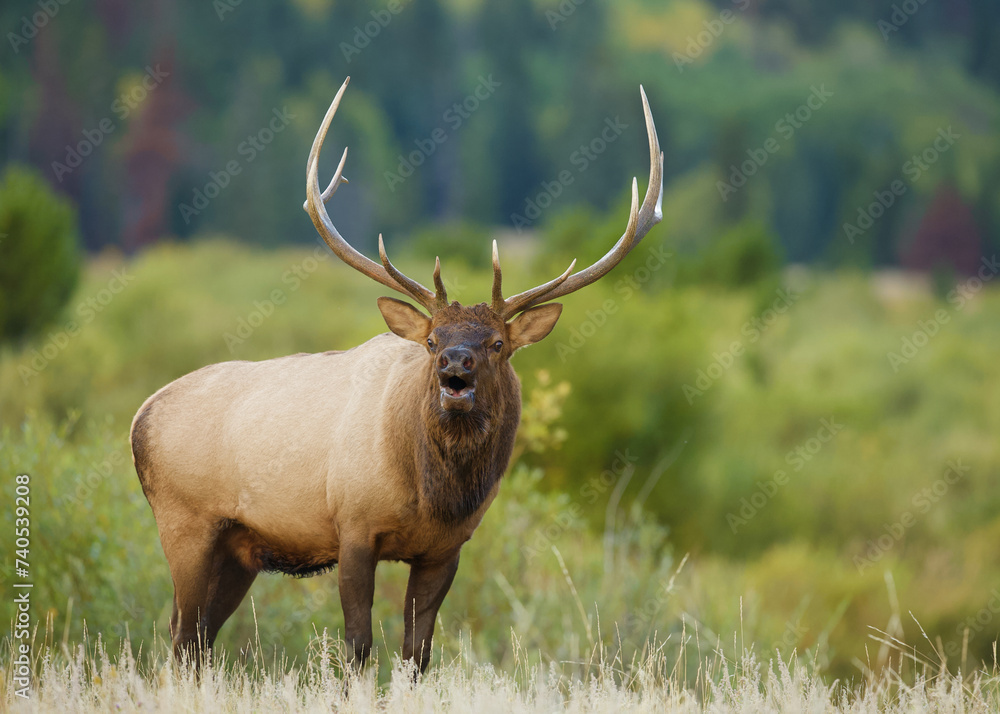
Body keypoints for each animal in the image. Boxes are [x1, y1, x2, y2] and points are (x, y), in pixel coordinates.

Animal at [130, 76, 662, 674]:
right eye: (431, 341)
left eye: (498, 344)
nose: (455, 363)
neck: (433, 496)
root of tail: (139, 416)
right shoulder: (353, 527)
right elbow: (358, 647)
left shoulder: (445, 550)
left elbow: (417, 653)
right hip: (185, 521)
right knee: (181, 635)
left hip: (240, 549)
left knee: (197, 638)